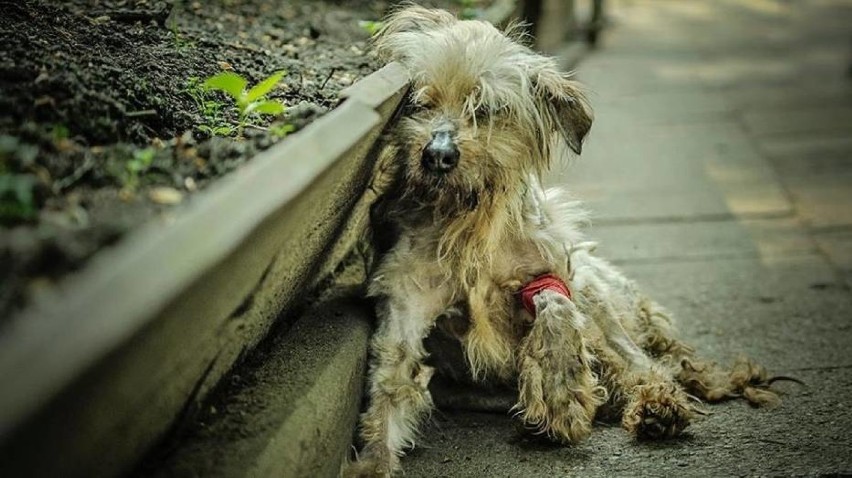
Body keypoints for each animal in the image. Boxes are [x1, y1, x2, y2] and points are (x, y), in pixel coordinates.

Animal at [344, 5, 780, 476]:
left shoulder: (554, 264)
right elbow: (390, 384)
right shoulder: (405, 306)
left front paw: (560, 388)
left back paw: (656, 405)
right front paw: (373, 460)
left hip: (600, 297)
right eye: (419, 102)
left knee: (642, 362)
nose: (438, 155)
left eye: (487, 108)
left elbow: (556, 304)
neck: (469, 224)